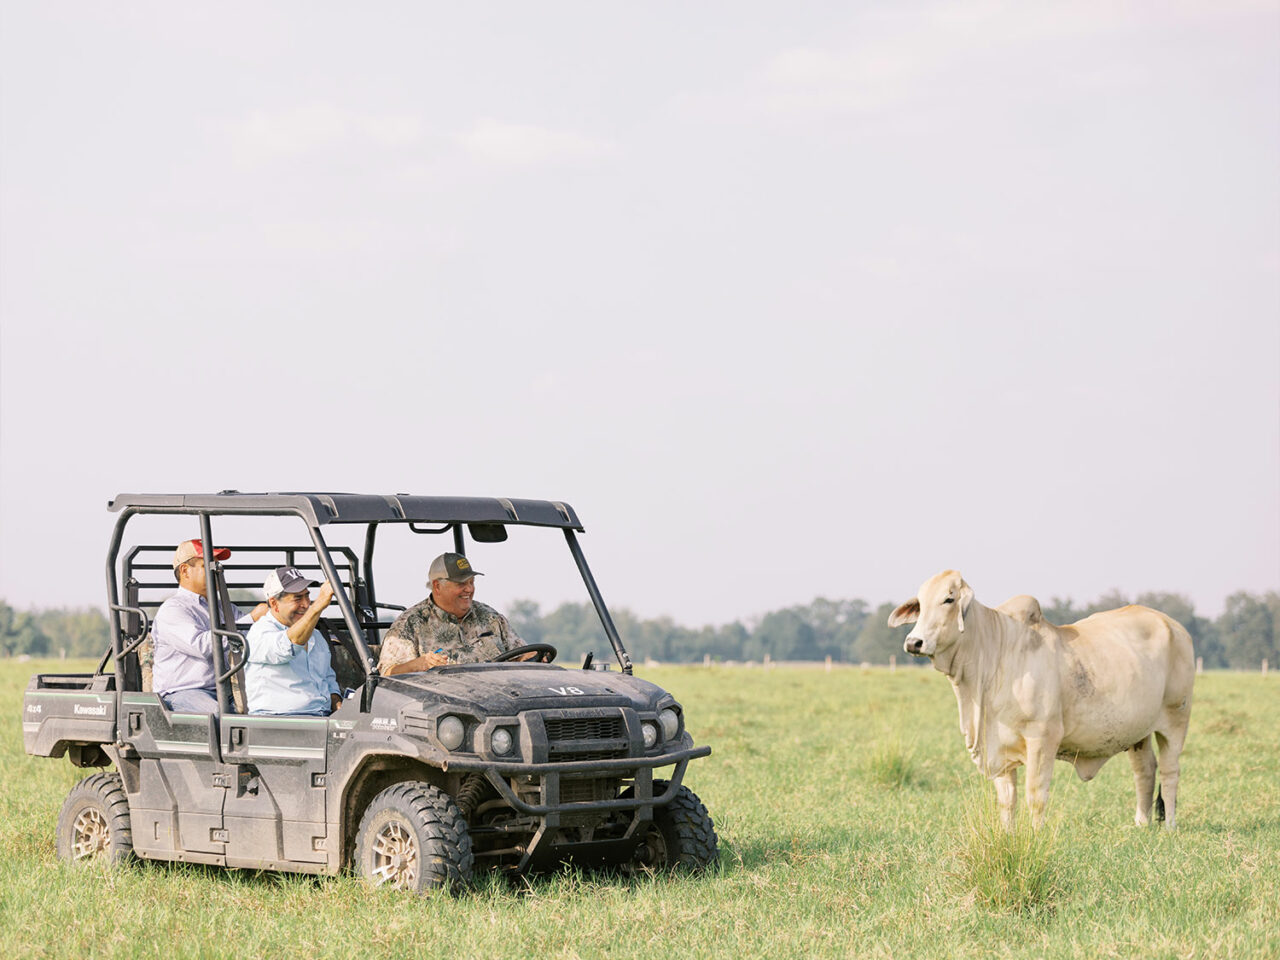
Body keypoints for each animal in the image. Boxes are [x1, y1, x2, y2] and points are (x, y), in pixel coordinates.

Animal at [885, 576, 1192, 829]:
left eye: (949, 599)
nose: (914, 642)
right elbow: (1007, 799)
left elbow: (1035, 794)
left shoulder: (1043, 737)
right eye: (920, 603)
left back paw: (1170, 826)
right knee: (1145, 770)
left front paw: (1034, 836)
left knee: (1170, 772)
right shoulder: (998, 746)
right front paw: (1007, 835)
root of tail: (1175, 627)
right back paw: (1140, 823)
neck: (993, 654)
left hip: (1175, 721)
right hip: (1138, 732)